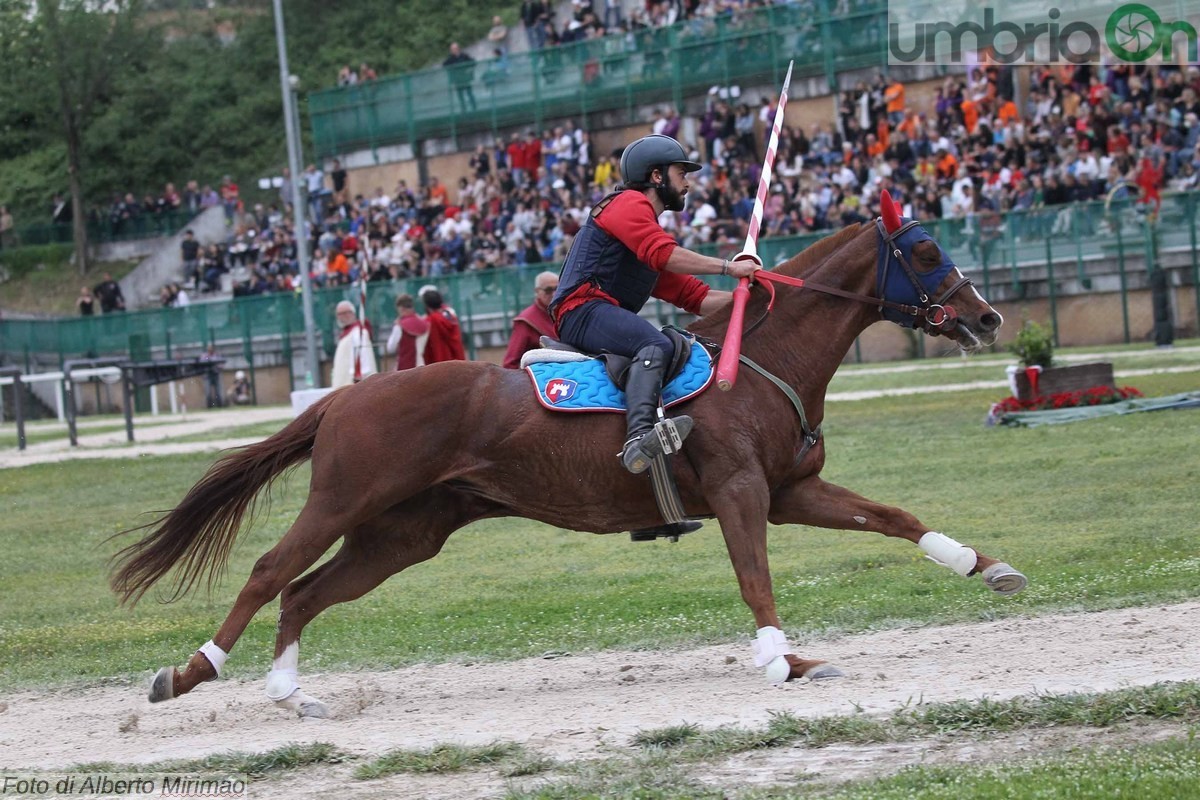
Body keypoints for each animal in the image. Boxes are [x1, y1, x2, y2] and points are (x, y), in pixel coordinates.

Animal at [112, 196, 1027, 714]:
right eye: (924, 253)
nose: (987, 319)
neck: (759, 356)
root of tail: (348, 395)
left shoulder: (791, 490)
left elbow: (893, 516)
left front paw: (985, 566)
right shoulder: (739, 492)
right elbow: (754, 576)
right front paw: (784, 658)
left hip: (405, 533)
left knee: (306, 592)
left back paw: (289, 691)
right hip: (345, 499)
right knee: (272, 572)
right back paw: (191, 673)